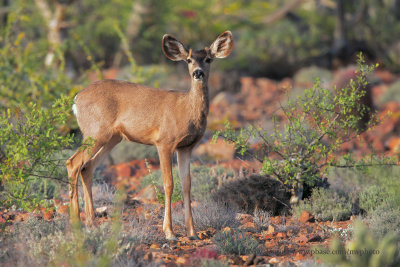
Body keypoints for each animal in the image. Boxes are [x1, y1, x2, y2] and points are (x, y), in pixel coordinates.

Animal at [66, 30, 234, 240]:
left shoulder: (186, 147)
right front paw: (169, 231)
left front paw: (192, 232)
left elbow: (187, 184)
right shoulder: (164, 141)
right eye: (188, 60)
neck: (186, 109)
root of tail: (76, 99)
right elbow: (168, 183)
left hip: (112, 138)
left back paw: (91, 224)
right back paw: (76, 223)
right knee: (73, 163)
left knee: (87, 167)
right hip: (95, 132)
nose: (198, 72)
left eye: (208, 59)